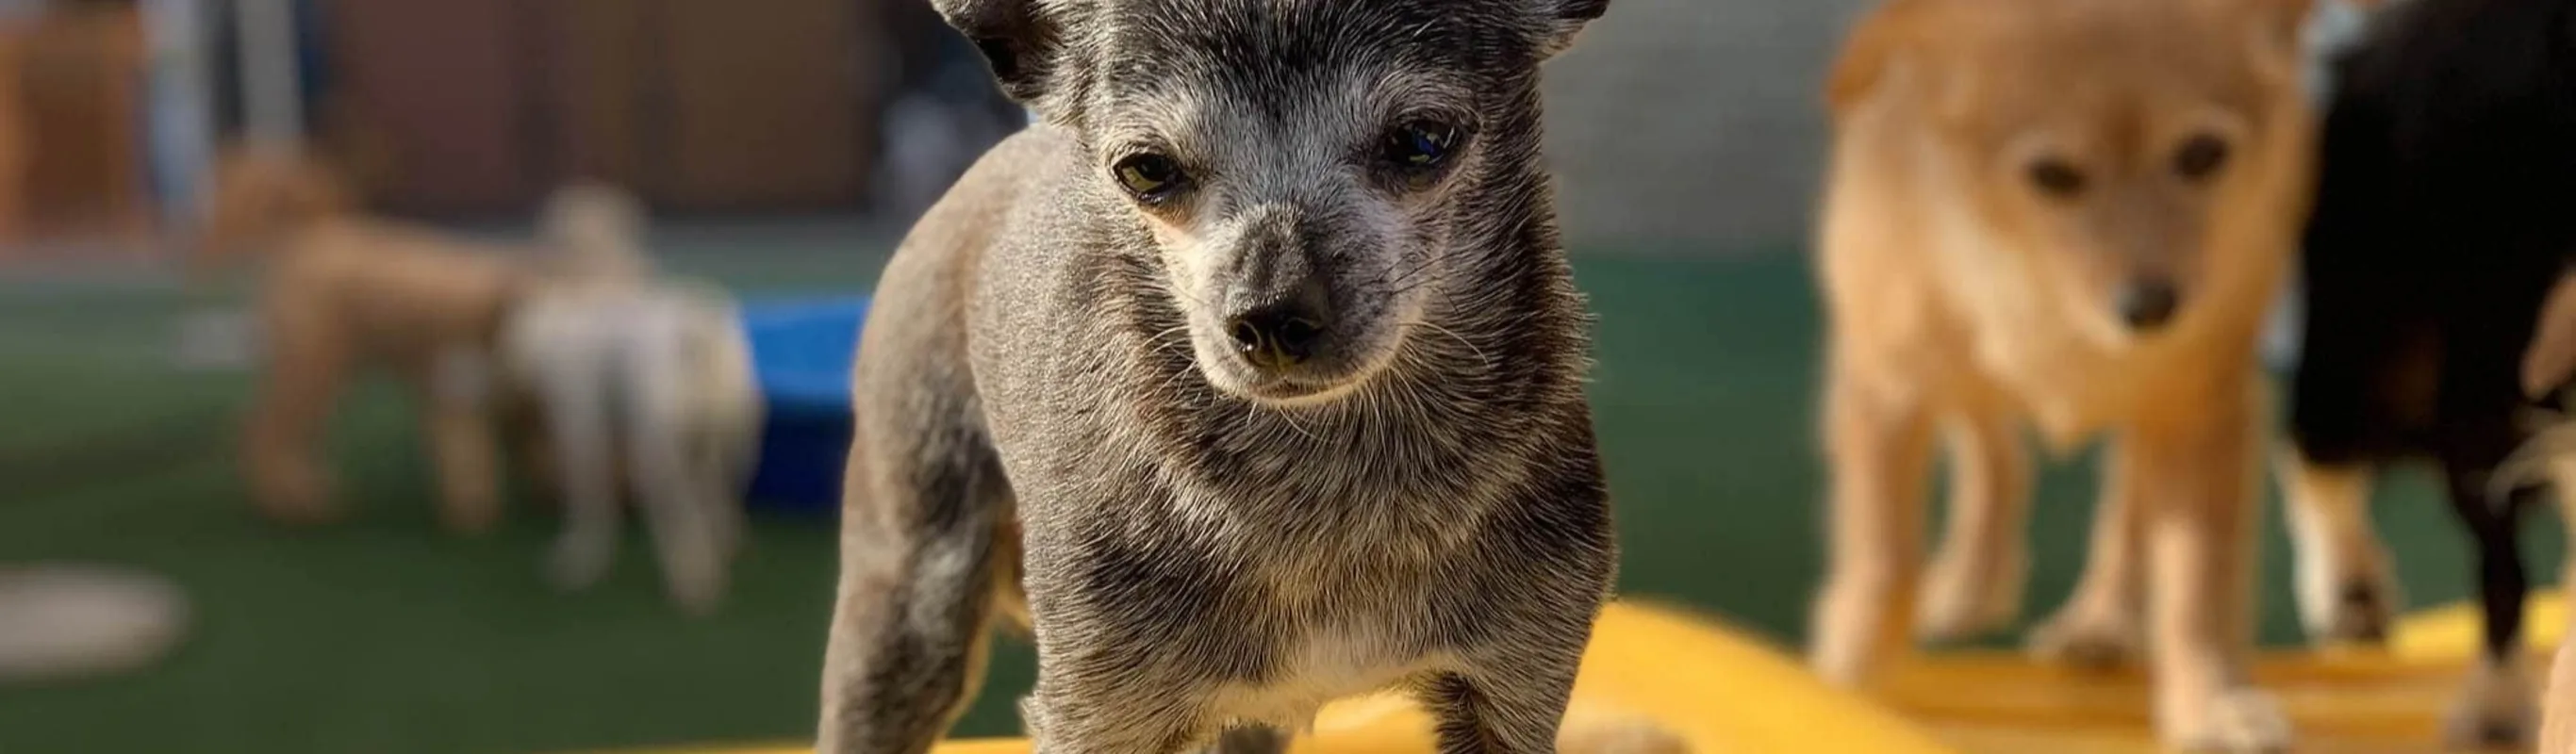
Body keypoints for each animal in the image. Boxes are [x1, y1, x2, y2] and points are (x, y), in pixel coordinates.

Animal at [1803, 1, 2328, 746]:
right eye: (2053, 175)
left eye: (2202, 155)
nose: (2151, 306)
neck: (2045, 299)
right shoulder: (1885, 395)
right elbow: (1885, 551)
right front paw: (1846, 675)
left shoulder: (2201, 408)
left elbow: (2195, 580)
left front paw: (2211, 704)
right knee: (1991, 442)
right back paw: (1973, 579)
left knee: (2126, 491)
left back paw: (2102, 619)